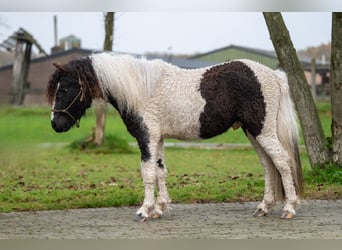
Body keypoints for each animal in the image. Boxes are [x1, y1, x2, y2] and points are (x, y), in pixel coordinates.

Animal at [46, 52, 304, 221]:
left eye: (65, 88)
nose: (56, 124)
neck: (141, 90)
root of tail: (273, 75)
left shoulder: (146, 138)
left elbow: (147, 172)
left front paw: (145, 210)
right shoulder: (157, 139)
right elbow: (160, 171)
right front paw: (160, 208)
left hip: (263, 132)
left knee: (281, 162)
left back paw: (289, 208)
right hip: (252, 132)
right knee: (268, 165)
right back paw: (264, 207)